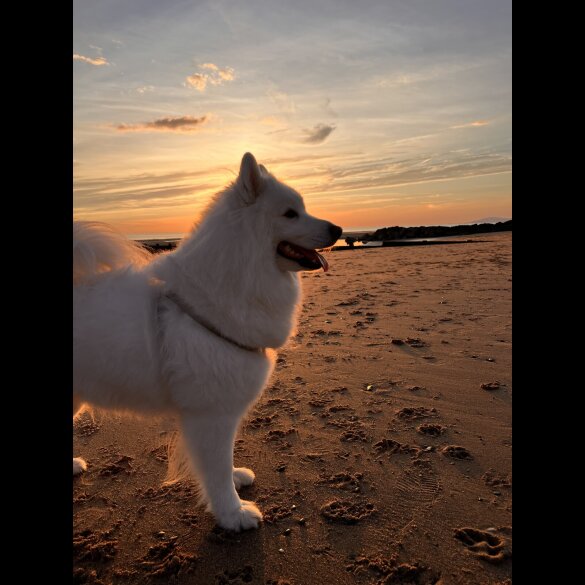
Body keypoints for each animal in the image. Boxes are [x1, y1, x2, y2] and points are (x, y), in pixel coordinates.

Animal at [73, 153, 342, 532]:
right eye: (291, 213)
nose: (339, 230)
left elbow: (224, 462)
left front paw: (236, 479)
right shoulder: (211, 413)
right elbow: (215, 470)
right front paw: (233, 514)